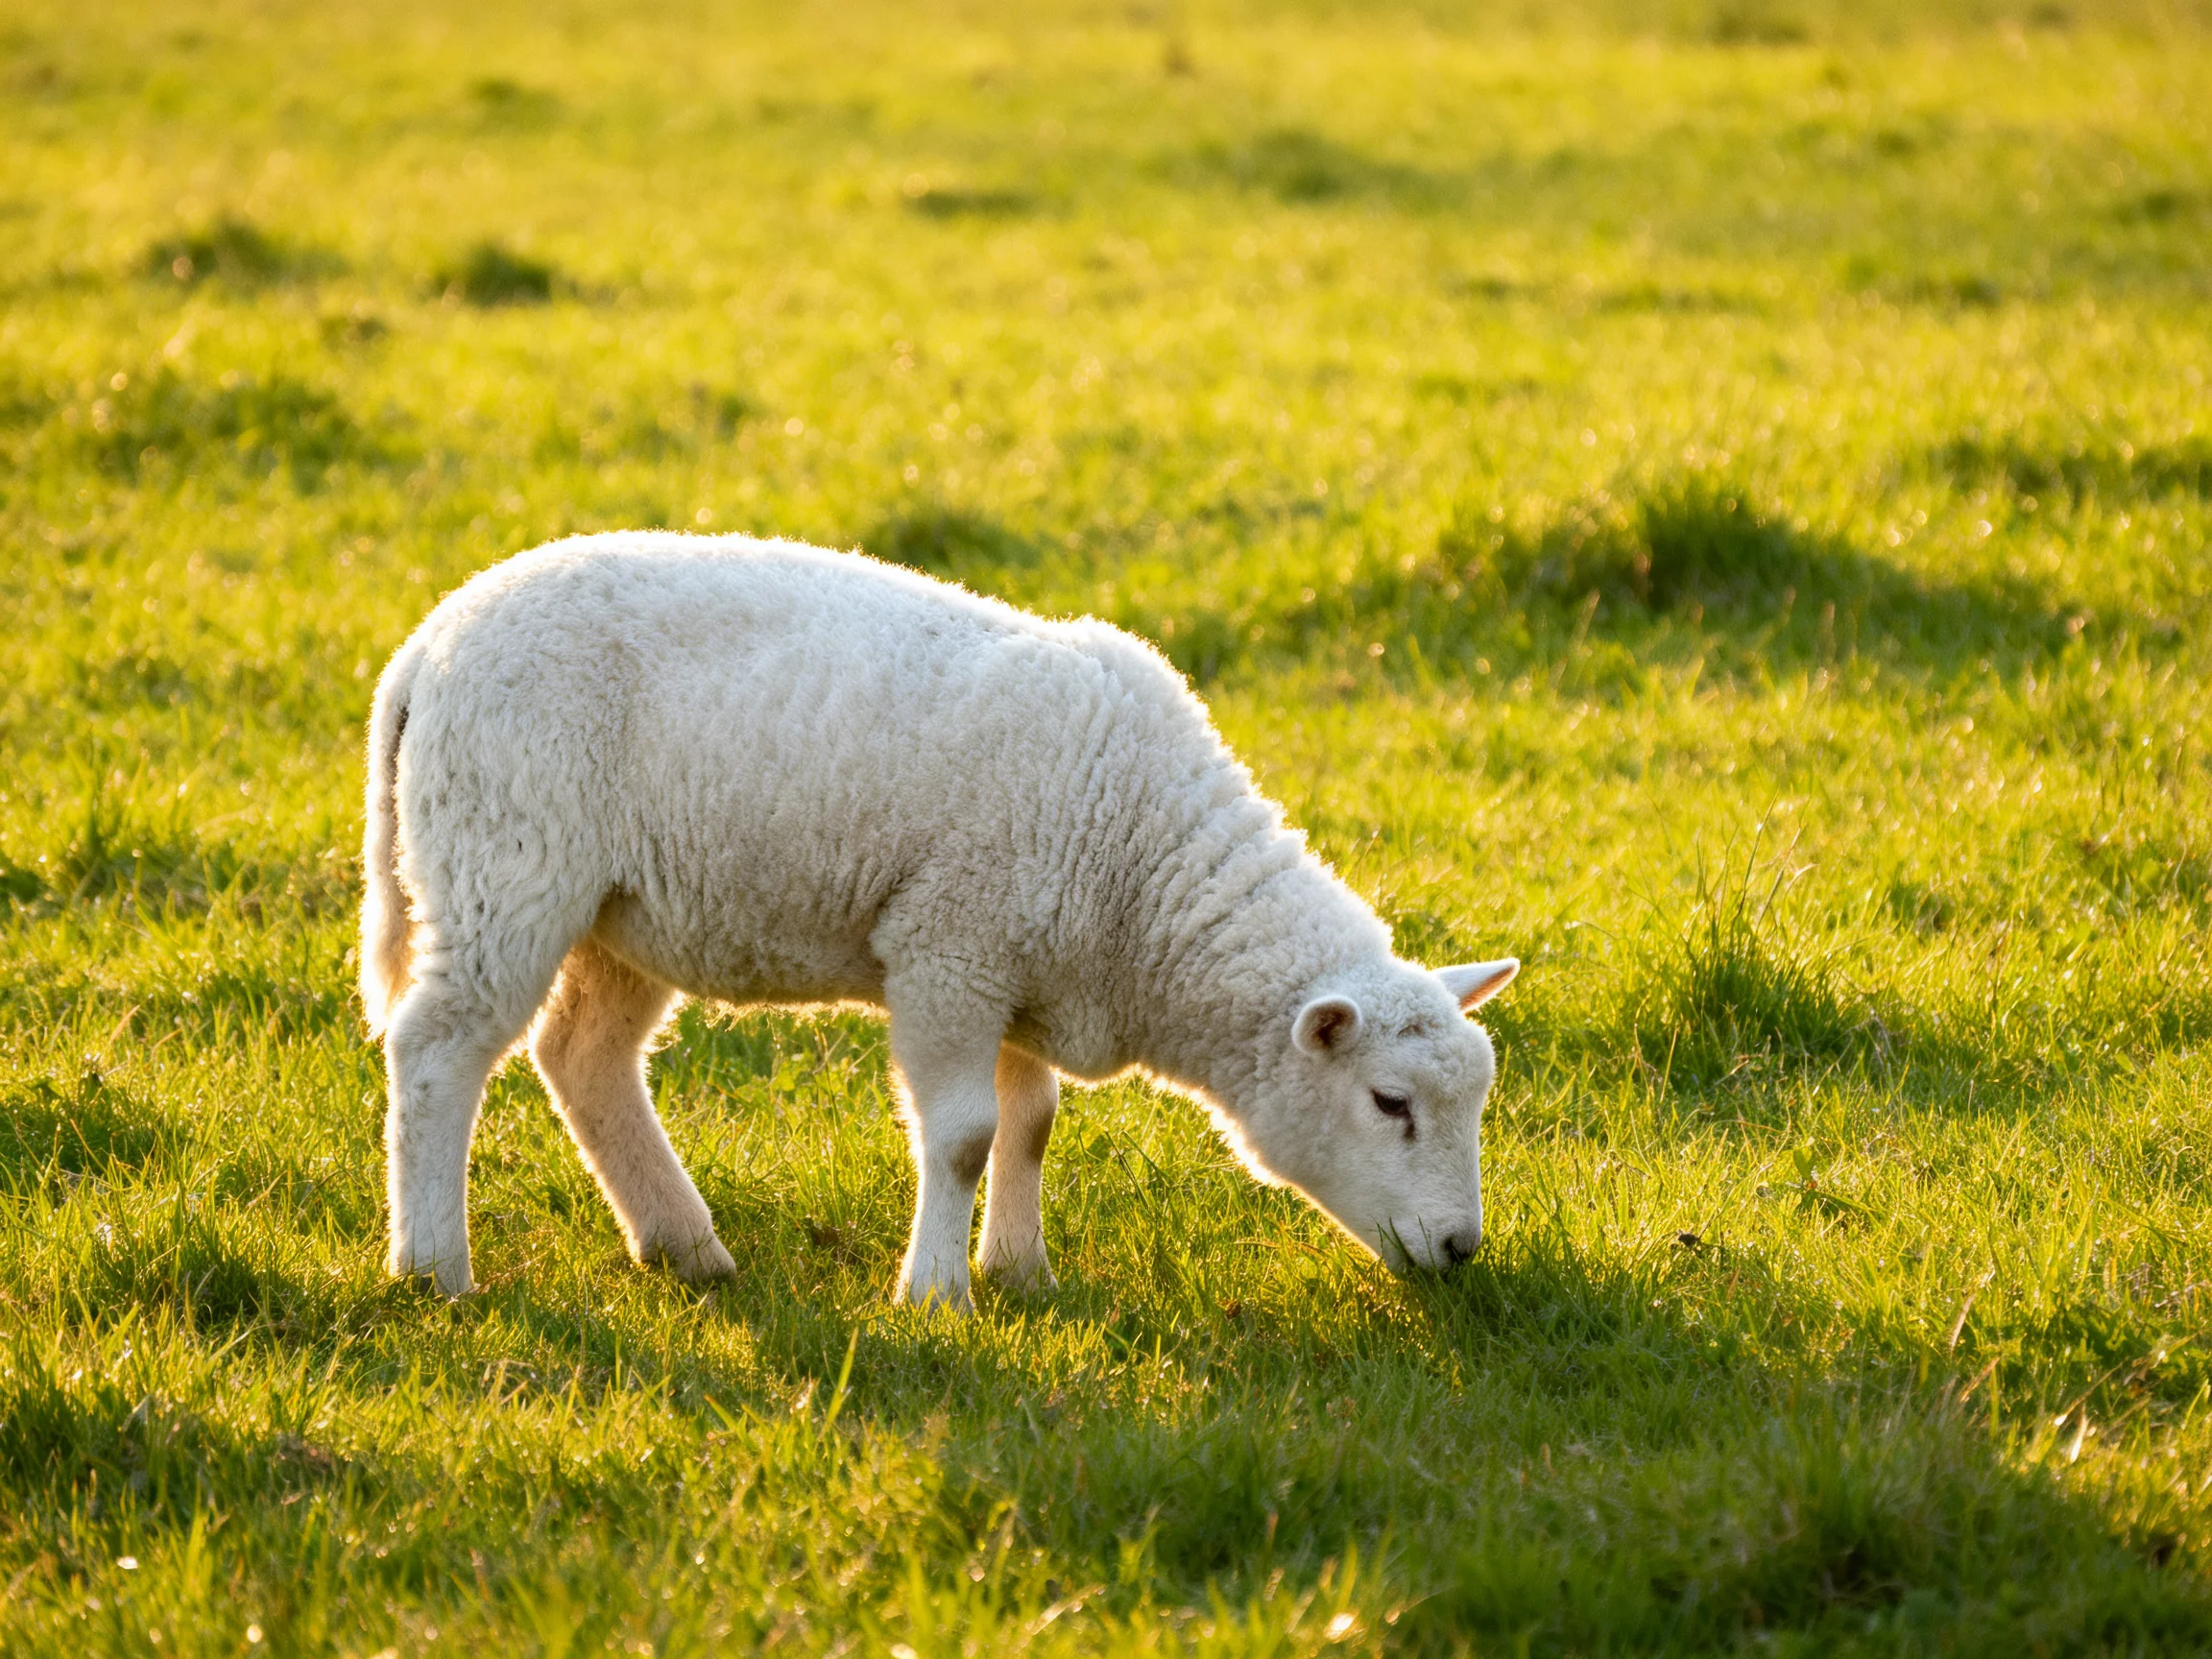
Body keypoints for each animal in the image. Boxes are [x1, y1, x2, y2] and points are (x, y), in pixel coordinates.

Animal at [360, 533, 1518, 1308]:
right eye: (1389, 1103)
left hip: (621, 909)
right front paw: (936, 1295)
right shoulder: (948, 951)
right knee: (437, 1050)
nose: (1460, 1251)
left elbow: (1032, 1122)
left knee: (584, 1056)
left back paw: (684, 1245)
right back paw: (433, 1266)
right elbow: (962, 1136)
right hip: (505, 861)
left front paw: (1021, 1271)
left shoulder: (1025, 965)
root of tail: (428, 640)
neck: (1143, 875)